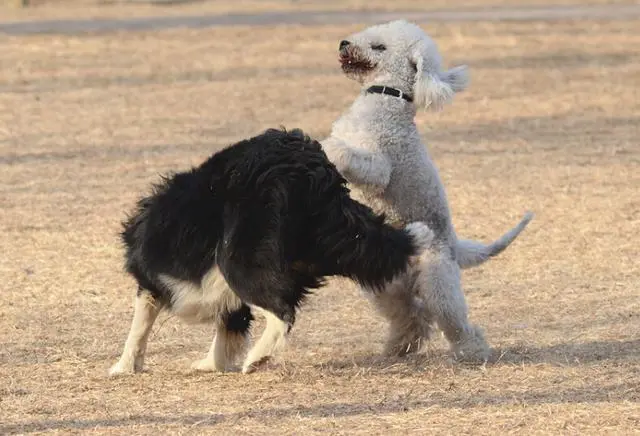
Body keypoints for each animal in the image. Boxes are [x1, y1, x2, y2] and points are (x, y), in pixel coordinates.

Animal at [110, 127, 432, 374]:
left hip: (238, 258)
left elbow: (139, 325)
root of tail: (307, 165)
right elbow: (228, 328)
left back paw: (257, 358)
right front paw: (211, 364)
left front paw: (122, 367)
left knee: (282, 311)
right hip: (331, 239)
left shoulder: (153, 280)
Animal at [322, 20, 532, 362]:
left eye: (379, 47)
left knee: (451, 320)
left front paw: (328, 148)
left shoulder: (379, 164)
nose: (343, 43)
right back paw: (398, 347)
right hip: (384, 283)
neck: (386, 98)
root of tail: (455, 245)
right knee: (413, 315)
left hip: (438, 282)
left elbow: (350, 156)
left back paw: (473, 352)